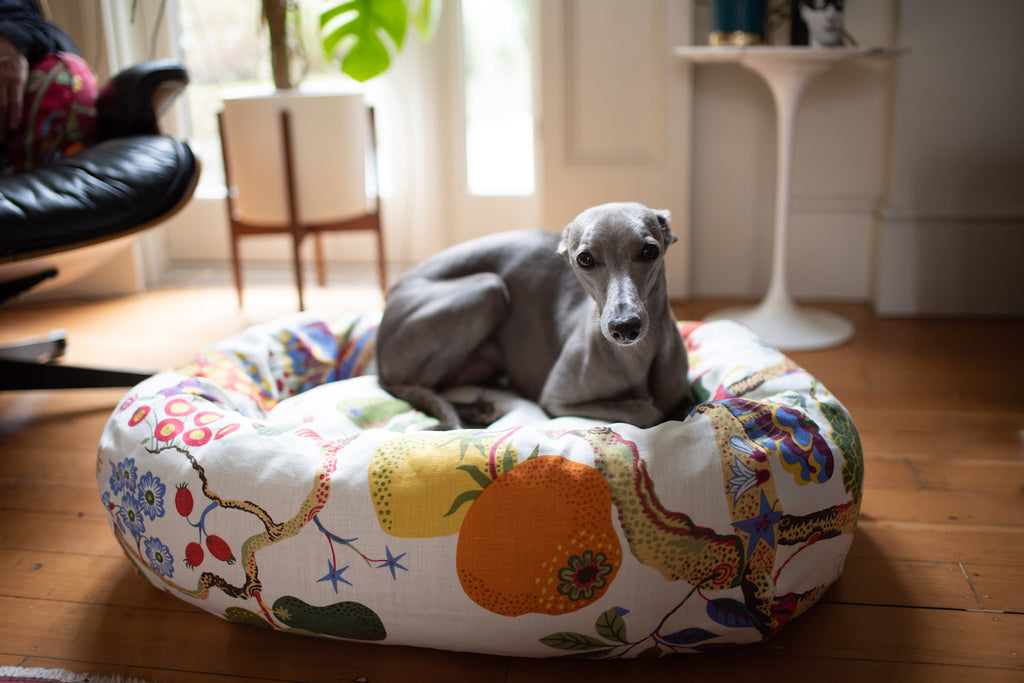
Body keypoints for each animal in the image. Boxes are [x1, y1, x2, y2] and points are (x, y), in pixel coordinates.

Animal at [376, 200, 696, 430]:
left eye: (649, 251)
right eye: (585, 259)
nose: (625, 327)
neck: (635, 356)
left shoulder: (682, 392)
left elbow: (683, 403)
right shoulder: (556, 399)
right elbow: (646, 410)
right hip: (487, 289)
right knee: (420, 387)